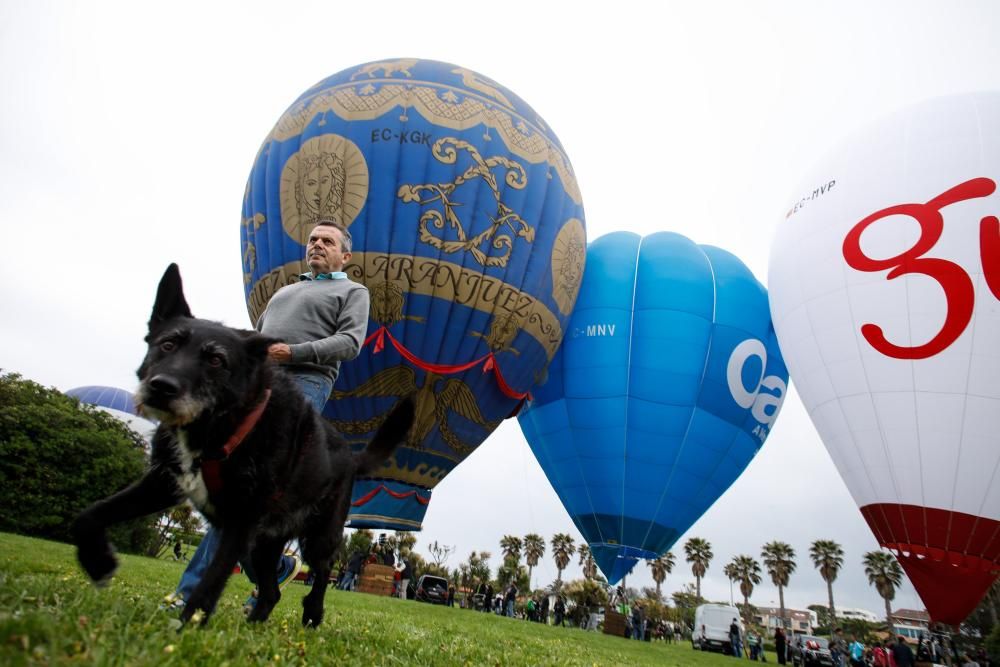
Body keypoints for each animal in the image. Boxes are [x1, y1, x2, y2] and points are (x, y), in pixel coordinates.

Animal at [72, 264, 412, 628]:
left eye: (216, 360)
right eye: (168, 344)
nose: (161, 387)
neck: (218, 428)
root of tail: (350, 454)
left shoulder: (240, 521)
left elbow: (209, 585)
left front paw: (183, 630)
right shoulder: (162, 485)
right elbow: (90, 514)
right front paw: (99, 563)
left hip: (318, 536)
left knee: (322, 571)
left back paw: (312, 614)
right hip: (265, 544)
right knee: (272, 591)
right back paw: (254, 623)